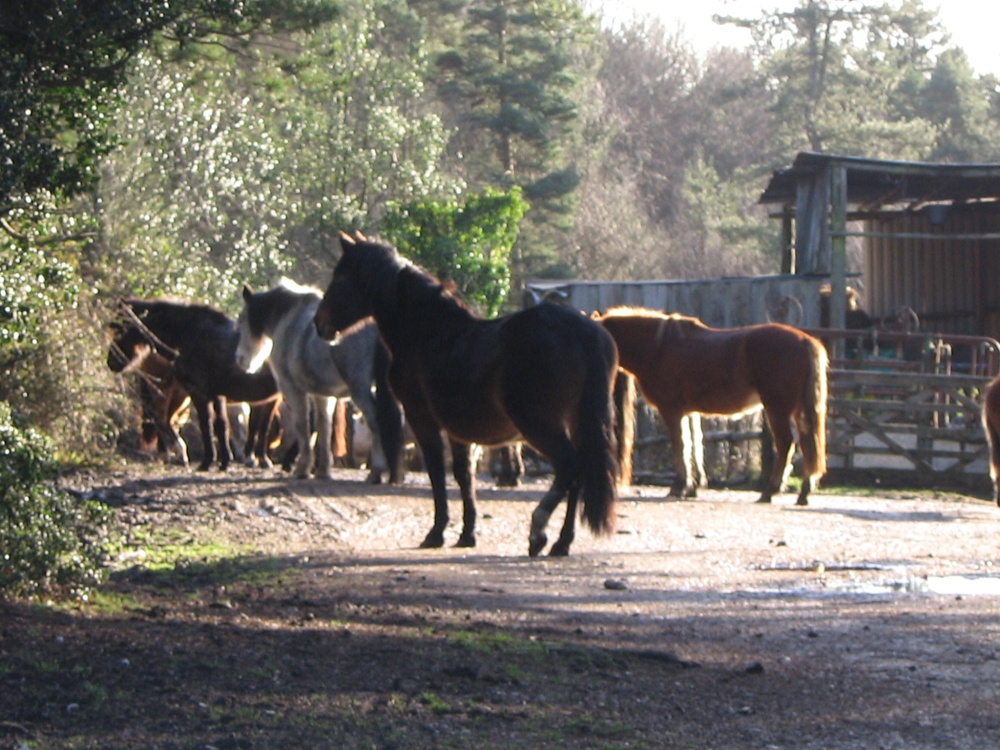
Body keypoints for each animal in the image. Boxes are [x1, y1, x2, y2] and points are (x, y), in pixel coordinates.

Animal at [109, 298, 280, 470]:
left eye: (120, 329)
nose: (111, 362)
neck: (191, 334)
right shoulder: (215, 395)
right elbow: (221, 426)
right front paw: (225, 461)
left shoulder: (200, 393)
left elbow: (210, 425)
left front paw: (209, 461)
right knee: (161, 417)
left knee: (162, 418)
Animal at [236, 280, 404, 484]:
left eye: (242, 319)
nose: (240, 360)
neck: (288, 319)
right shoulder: (322, 396)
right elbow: (324, 427)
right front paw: (323, 470)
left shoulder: (293, 390)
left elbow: (303, 425)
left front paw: (302, 468)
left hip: (360, 390)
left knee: (375, 420)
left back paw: (377, 471)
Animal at [316, 235, 620, 560]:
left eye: (340, 277)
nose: (319, 324)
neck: (430, 335)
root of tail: (586, 331)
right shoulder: (458, 430)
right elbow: (465, 477)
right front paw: (467, 534)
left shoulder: (422, 418)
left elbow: (437, 473)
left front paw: (436, 532)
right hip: (575, 421)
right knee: (579, 472)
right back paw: (562, 543)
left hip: (539, 424)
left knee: (569, 465)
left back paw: (538, 531)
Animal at [592, 308, 828, 508]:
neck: (658, 347)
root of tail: (805, 340)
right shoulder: (689, 413)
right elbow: (695, 444)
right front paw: (694, 487)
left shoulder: (672, 410)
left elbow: (681, 446)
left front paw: (680, 486)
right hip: (795, 410)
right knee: (807, 443)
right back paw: (803, 492)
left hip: (777, 408)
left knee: (786, 443)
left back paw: (770, 491)